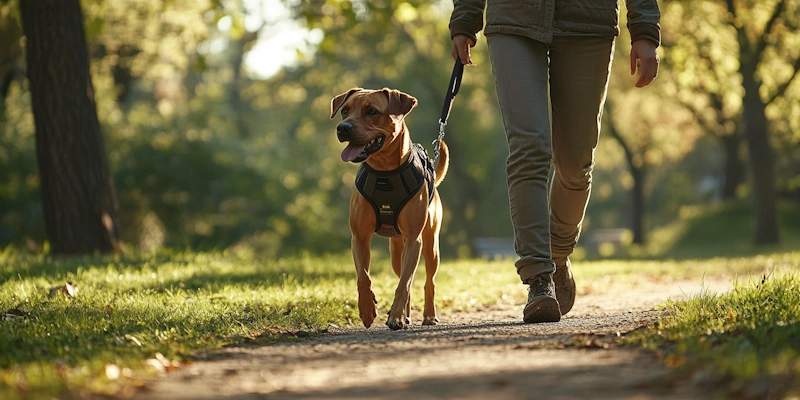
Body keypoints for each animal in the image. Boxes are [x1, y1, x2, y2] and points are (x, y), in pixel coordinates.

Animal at [328, 88, 446, 332]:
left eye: (372, 111)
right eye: (344, 110)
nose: (343, 128)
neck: (385, 172)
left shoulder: (414, 238)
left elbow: (405, 284)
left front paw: (396, 317)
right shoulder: (359, 237)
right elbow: (363, 277)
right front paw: (367, 310)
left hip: (430, 245)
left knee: (427, 280)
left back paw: (427, 315)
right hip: (395, 251)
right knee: (403, 275)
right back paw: (405, 314)